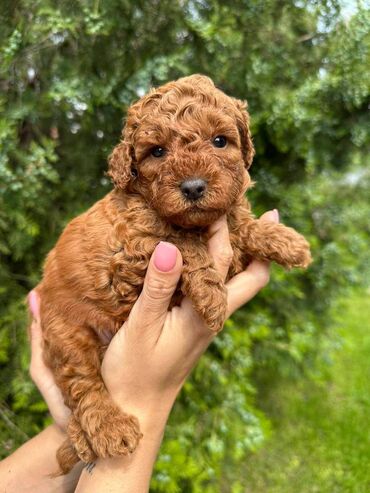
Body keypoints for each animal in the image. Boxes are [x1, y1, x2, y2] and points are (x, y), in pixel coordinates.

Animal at [35, 74, 312, 472]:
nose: (193, 187)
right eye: (157, 152)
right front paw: (213, 299)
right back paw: (107, 431)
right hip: (67, 335)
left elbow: (241, 224)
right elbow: (185, 243)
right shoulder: (136, 243)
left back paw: (82, 443)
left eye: (219, 141)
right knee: (82, 386)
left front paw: (287, 241)